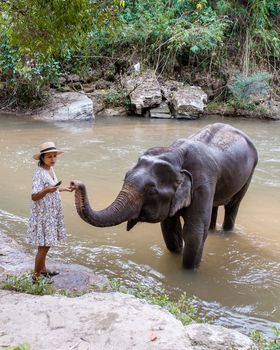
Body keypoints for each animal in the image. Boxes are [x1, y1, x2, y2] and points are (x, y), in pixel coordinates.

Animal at [71, 122, 258, 268]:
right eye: (125, 177)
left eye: (151, 190)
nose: (74, 183)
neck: (175, 153)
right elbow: (169, 229)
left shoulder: (202, 183)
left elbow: (194, 232)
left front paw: (188, 273)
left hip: (249, 175)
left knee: (232, 206)